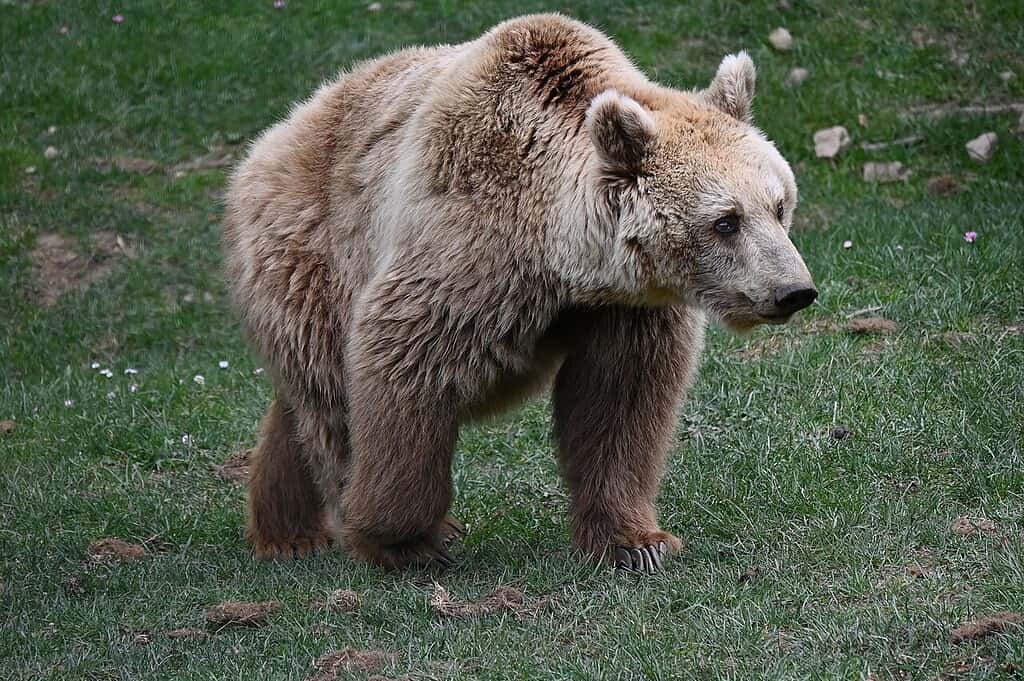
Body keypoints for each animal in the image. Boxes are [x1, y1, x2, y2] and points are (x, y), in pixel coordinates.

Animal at [222, 13, 817, 573]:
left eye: (779, 204)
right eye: (726, 221)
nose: (795, 290)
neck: (560, 253)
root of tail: (270, 140)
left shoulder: (624, 307)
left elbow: (621, 402)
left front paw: (635, 542)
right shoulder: (467, 247)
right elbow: (404, 364)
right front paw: (406, 538)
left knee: (302, 408)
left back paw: (286, 530)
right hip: (312, 254)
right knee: (331, 400)